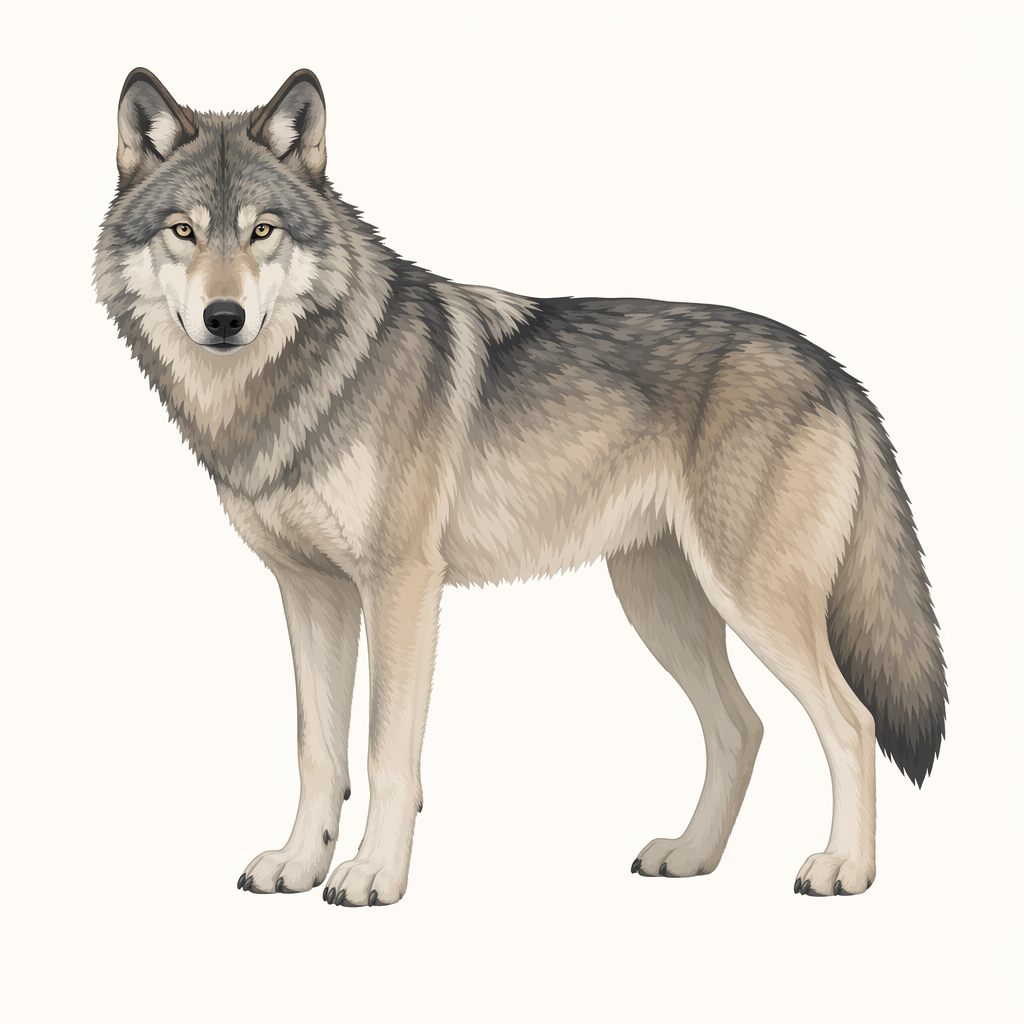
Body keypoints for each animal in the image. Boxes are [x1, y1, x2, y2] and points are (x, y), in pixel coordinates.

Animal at [94, 68, 946, 905]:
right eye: (184, 231)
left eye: (262, 230)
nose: (224, 316)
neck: (297, 384)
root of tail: (831, 366)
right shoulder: (312, 593)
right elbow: (317, 753)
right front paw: (299, 865)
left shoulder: (401, 585)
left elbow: (384, 754)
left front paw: (373, 876)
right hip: (660, 605)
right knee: (742, 728)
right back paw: (689, 856)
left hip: (751, 602)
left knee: (851, 722)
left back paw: (845, 868)